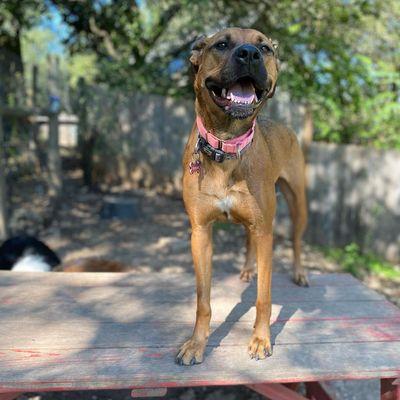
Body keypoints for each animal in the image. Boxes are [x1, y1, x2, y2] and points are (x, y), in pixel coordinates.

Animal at [177, 28, 308, 366]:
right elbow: (203, 301)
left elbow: (264, 298)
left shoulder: (265, 231)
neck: (226, 145)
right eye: (221, 44)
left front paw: (261, 340)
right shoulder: (200, 232)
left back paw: (299, 272)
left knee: (297, 240)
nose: (250, 54)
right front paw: (196, 344)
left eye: (266, 47)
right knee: (248, 240)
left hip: (297, 203)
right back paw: (248, 269)